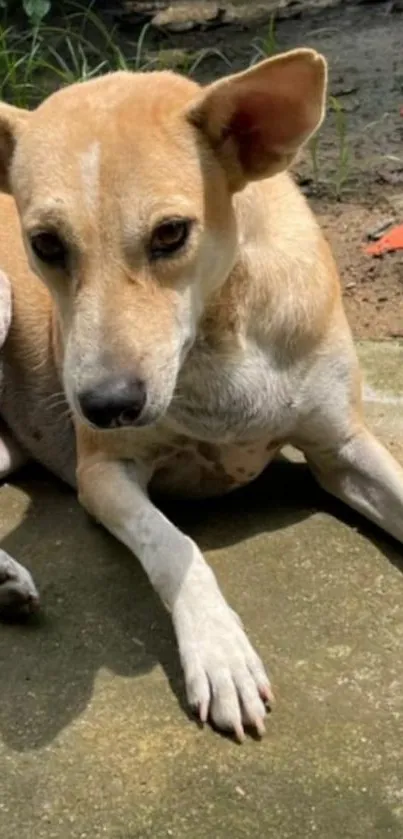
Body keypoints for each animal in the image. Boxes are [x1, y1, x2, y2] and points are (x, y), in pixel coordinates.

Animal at [0, 49, 400, 740]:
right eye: (45, 244)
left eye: (170, 234)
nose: (106, 406)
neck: (218, 330)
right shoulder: (103, 472)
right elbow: (172, 545)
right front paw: (220, 652)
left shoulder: (342, 448)